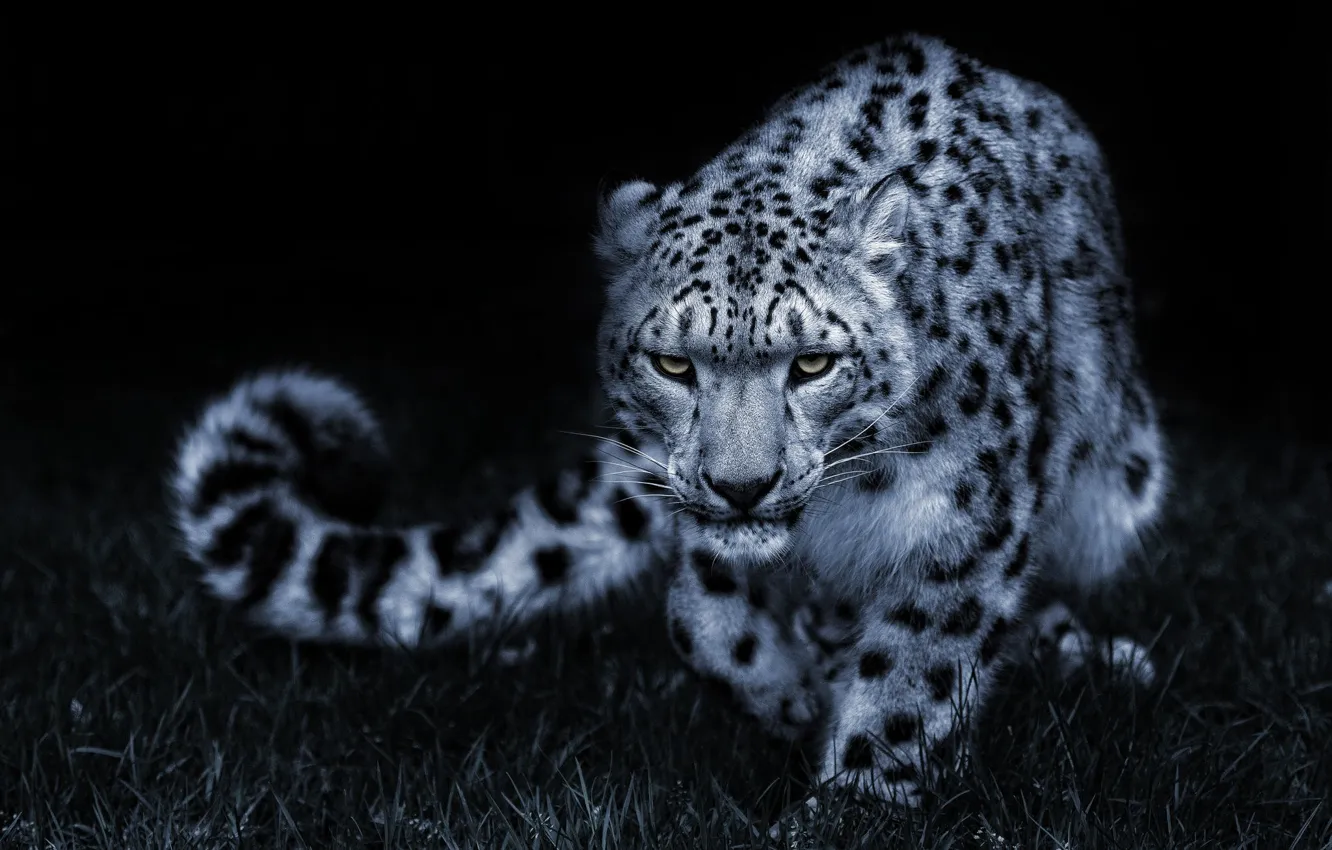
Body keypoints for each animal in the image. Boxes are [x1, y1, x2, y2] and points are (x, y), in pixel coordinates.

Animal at [169, 33, 1167, 806]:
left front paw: (850, 803)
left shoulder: (964, 523)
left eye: (814, 362)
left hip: (1118, 484)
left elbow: (912, 678)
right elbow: (701, 617)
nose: (742, 486)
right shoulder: (696, 515)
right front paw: (788, 697)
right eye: (673, 364)